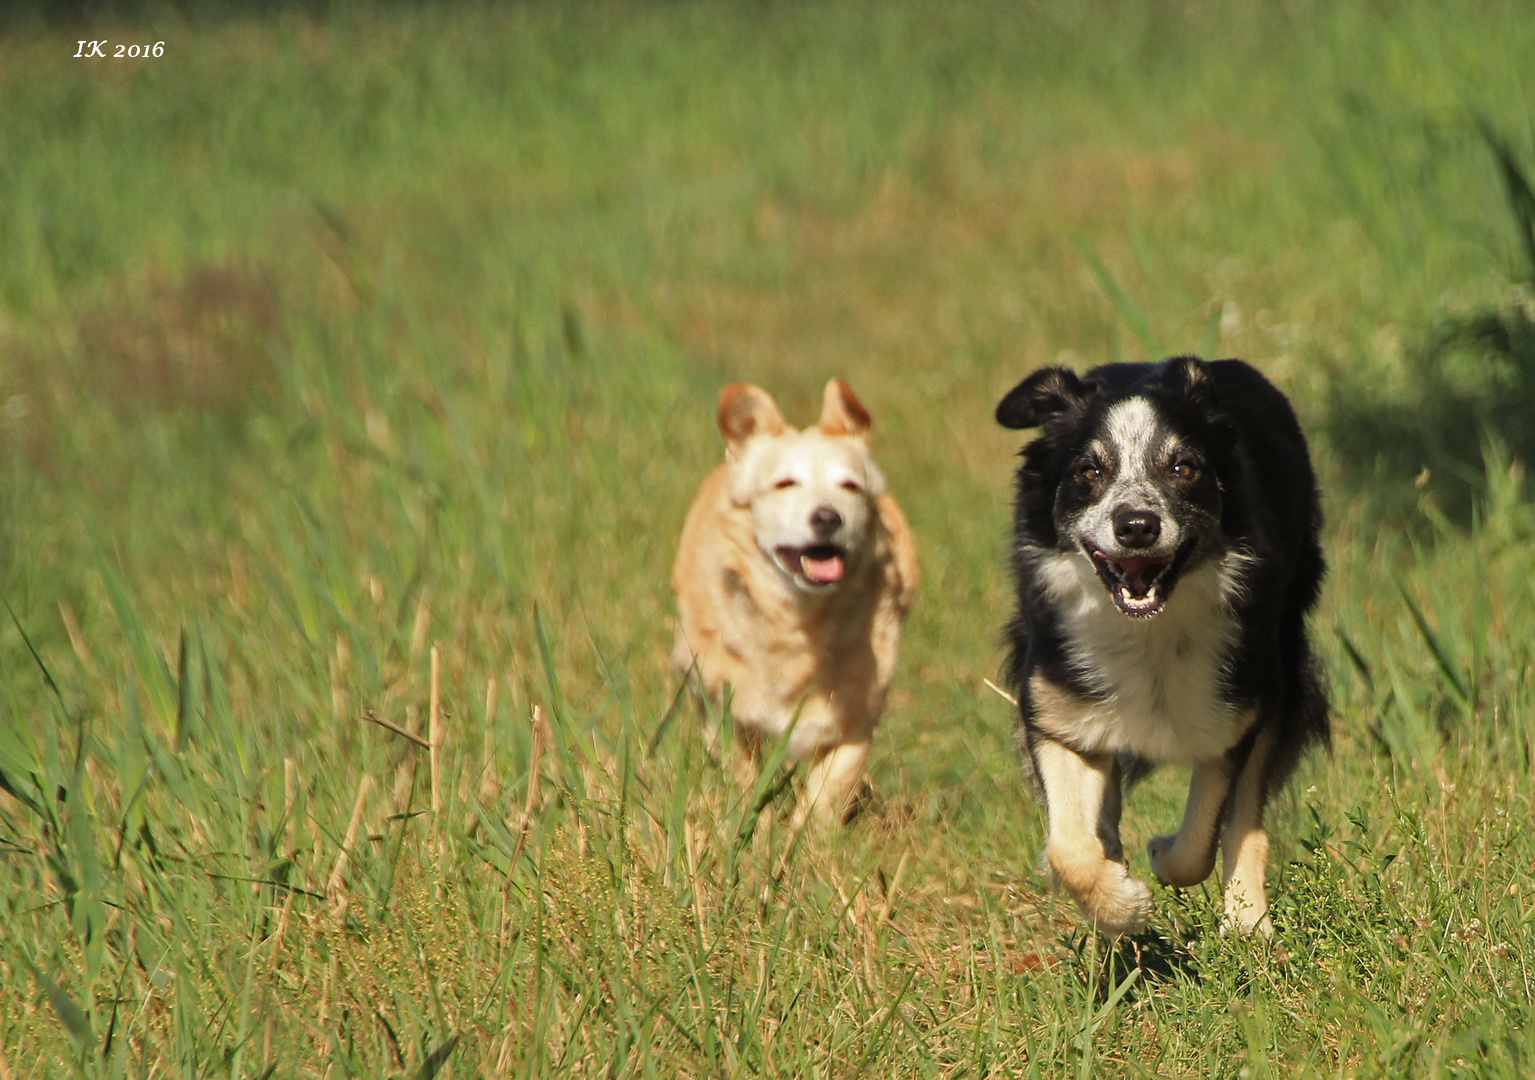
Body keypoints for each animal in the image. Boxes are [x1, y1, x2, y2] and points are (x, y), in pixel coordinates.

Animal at [669, 375, 908, 822]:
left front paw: (805, 837)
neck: (798, 618)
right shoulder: (721, 709)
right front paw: (753, 827)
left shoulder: (856, 717)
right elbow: (744, 779)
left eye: (850, 487)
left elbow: (828, 793)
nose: (828, 516)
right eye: (784, 484)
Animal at [1000, 355, 1326, 938]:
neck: (1147, 629)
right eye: (1089, 472)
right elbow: (1068, 849)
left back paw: (1248, 921)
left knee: (1246, 816)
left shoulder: (1238, 709)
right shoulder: (1058, 707)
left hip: (1281, 667)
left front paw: (1159, 857)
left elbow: (1201, 840)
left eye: (1184, 468)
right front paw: (1121, 904)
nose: (1136, 525)